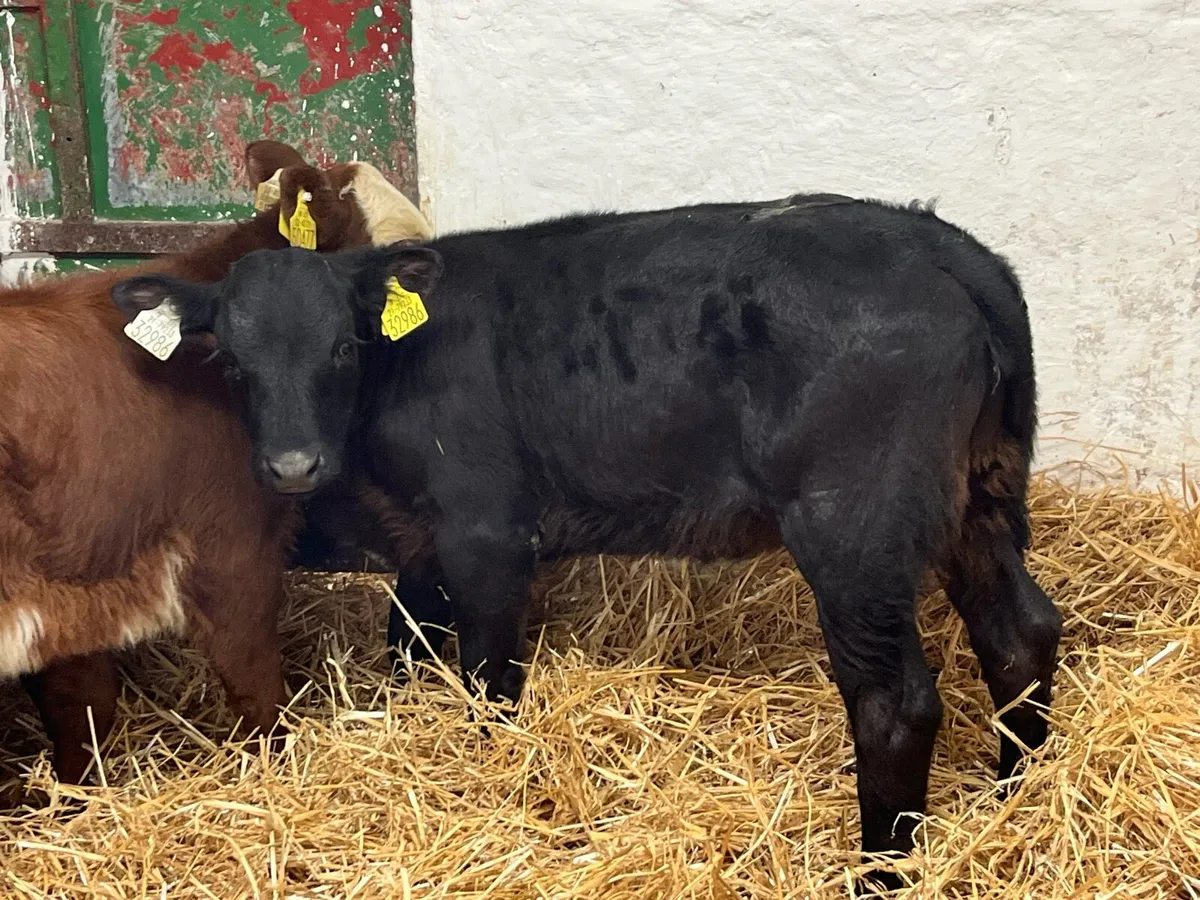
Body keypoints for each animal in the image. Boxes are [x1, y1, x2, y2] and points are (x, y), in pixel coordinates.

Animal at [0, 140, 429, 786]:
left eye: (342, 344)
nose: (294, 466)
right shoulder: (231, 553)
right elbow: (256, 692)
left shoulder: (75, 586)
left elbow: (81, 715)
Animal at [110, 194, 1063, 883]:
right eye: (231, 362)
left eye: (344, 346)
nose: (293, 465)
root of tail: (941, 246)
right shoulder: (423, 542)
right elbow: (411, 648)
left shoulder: (488, 530)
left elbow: (489, 682)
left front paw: (493, 782)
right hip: (978, 498)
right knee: (1021, 632)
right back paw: (1016, 797)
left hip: (854, 523)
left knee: (896, 700)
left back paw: (882, 869)